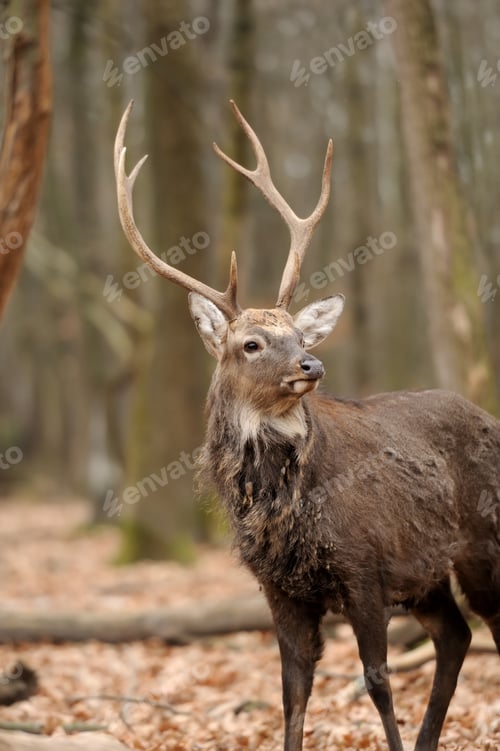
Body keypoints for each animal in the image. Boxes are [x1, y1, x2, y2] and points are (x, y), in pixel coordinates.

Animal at [114, 100, 500, 751]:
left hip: (482, 542)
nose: (311, 364)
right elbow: (292, 691)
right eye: (251, 343)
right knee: (457, 636)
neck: (285, 511)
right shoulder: (279, 589)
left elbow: (377, 681)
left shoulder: (365, 568)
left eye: (300, 334)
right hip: (427, 575)